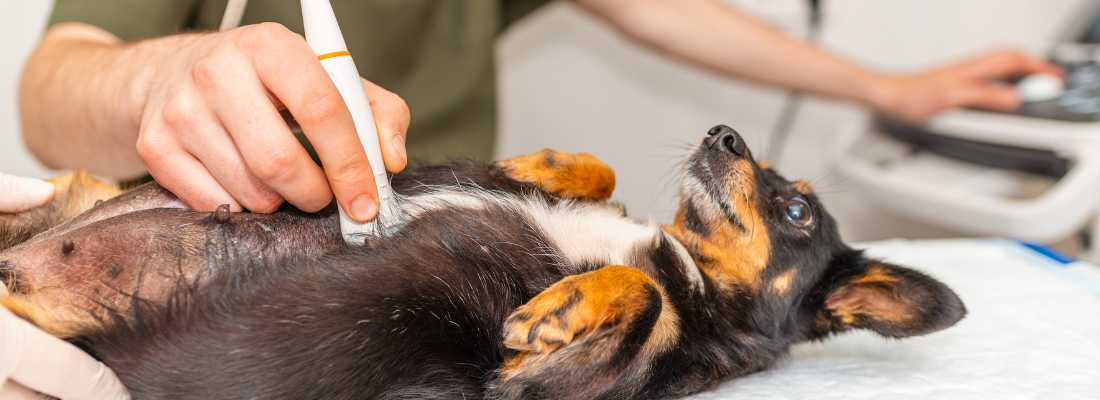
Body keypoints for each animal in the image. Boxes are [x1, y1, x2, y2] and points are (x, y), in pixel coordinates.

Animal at [0, 124, 963, 397]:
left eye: (797, 209)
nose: (723, 133)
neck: (680, 259)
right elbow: (598, 173)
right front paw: (544, 165)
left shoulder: (543, 391)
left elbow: (645, 302)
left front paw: (553, 312)